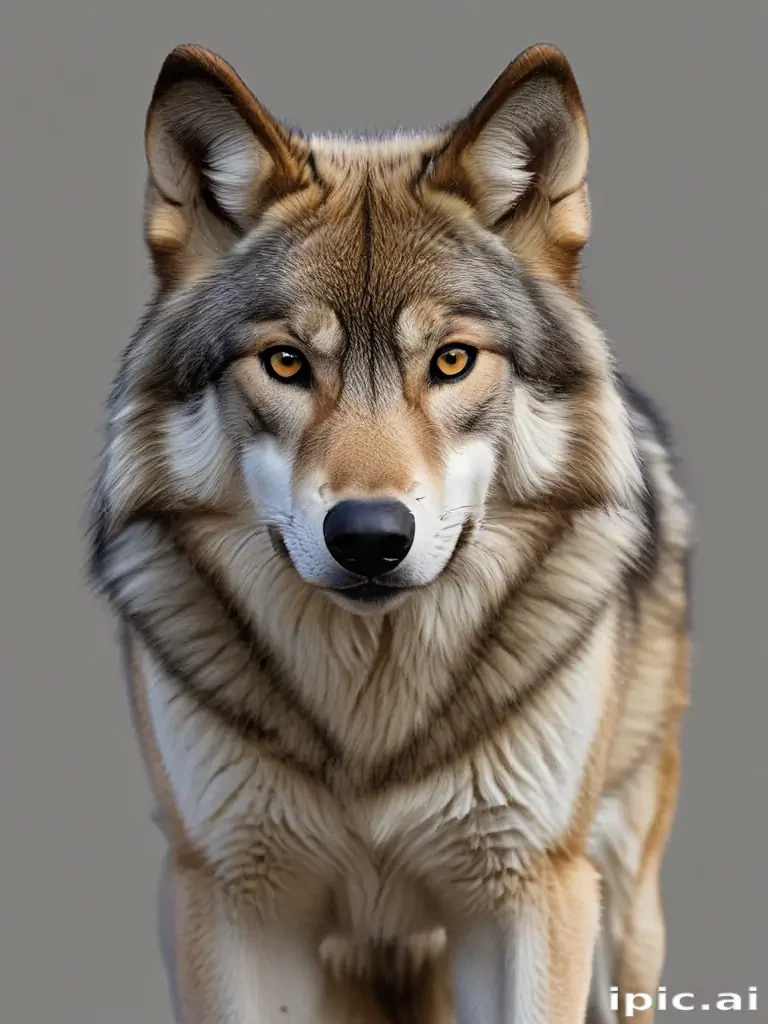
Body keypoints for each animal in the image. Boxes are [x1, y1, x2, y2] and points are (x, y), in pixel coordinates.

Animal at [87, 42, 691, 1023]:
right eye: (285, 362)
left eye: (451, 360)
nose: (369, 536)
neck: (371, 728)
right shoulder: (229, 894)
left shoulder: (530, 890)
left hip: (624, 910)